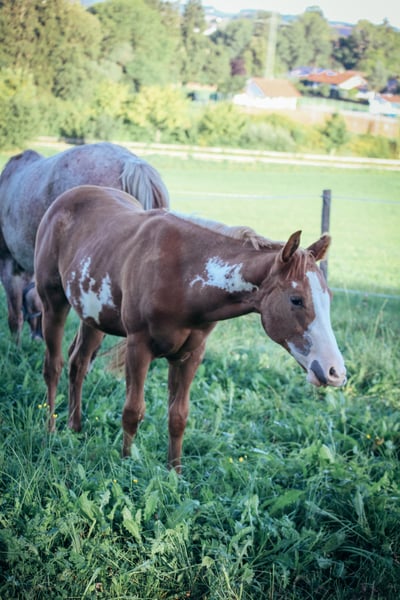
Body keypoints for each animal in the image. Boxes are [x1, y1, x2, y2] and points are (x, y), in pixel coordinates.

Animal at [35, 185, 346, 472]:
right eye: (296, 299)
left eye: (328, 297)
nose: (335, 372)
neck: (183, 276)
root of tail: (67, 197)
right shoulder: (139, 347)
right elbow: (133, 411)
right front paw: (126, 465)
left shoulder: (190, 354)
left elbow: (178, 416)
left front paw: (175, 473)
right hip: (53, 304)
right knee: (54, 365)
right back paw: (50, 430)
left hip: (93, 318)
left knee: (78, 364)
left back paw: (75, 427)